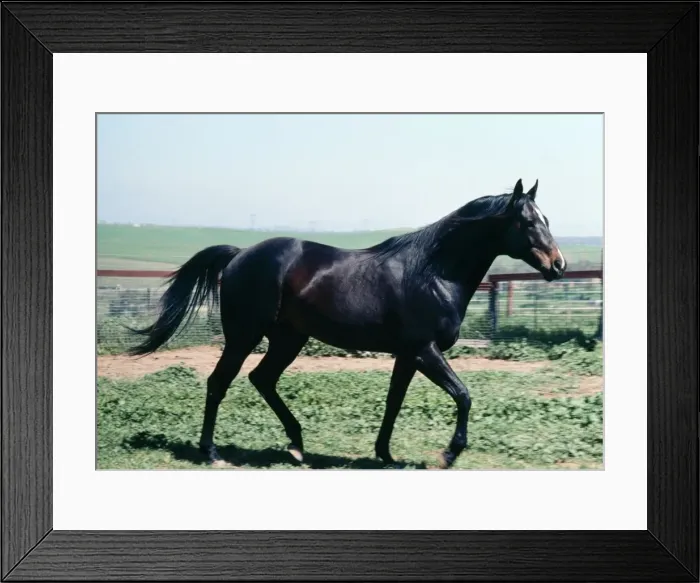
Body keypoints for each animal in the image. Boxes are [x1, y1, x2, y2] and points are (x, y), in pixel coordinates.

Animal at [128, 179, 566, 469]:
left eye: (546, 218)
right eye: (528, 223)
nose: (558, 265)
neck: (433, 273)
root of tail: (239, 254)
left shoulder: (408, 355)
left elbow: (394, 402)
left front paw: (385, 454)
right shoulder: (425, 350)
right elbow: (463, 395)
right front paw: (448, 453)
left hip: (288, 339)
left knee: (262, 379)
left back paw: (297, 445)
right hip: (243, 336)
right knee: (219, 383)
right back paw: (213, 453)